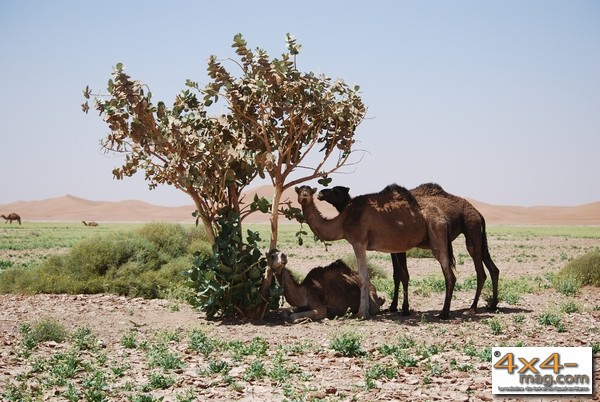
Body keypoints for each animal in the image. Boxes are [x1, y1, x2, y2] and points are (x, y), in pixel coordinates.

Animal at [296, 185, 454, 320]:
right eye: (300, 190)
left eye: (308, 191)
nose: (318, 194)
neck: (344, 220)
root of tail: (443, 218)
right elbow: (366, 277)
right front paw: (367, 311)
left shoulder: (358, 242)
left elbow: (363, 278)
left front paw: (362, 313)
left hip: (437, 230)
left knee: (449, 274)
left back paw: (444, 313)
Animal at [318, 184, 502, 316]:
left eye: (336, 190)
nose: (321, 193)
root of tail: (478, 212)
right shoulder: (394, 249)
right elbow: (396, 275)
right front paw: (393, 306)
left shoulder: (400, 248)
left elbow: (402, 275)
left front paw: (403, 308)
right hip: (478, 233)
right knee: (493, 268)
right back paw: (492, 305)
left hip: (471, 227)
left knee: (479, 269)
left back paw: (470, 308)